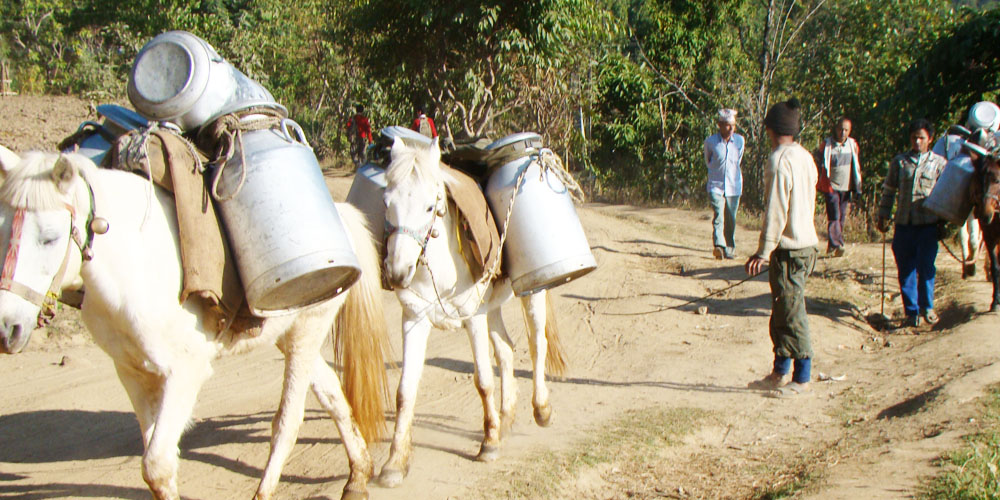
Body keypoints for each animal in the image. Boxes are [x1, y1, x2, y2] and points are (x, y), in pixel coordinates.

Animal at [0, 151, 390, 500]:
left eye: (50, 237)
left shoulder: (184, 372)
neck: (134, 262)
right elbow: (160, 463)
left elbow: (156, 464)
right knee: (333, 394)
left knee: (288, 422)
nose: (7, 329)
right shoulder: (132, 373)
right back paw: (357, 477)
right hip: (289, 334)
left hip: (307, 331)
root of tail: (340, 215)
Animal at [378, 137, 568, 488]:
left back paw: (541, 410)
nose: (397, 272)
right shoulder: (413, 321)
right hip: (492, 307)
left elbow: (482, 380)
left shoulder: (472, 319)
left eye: (430, 207)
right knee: (506, 350)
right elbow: (404, 392)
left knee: (537, 345)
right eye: (386, 202)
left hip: (531, 294)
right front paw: (394, 463)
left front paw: (489, 443)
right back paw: (506, 419)